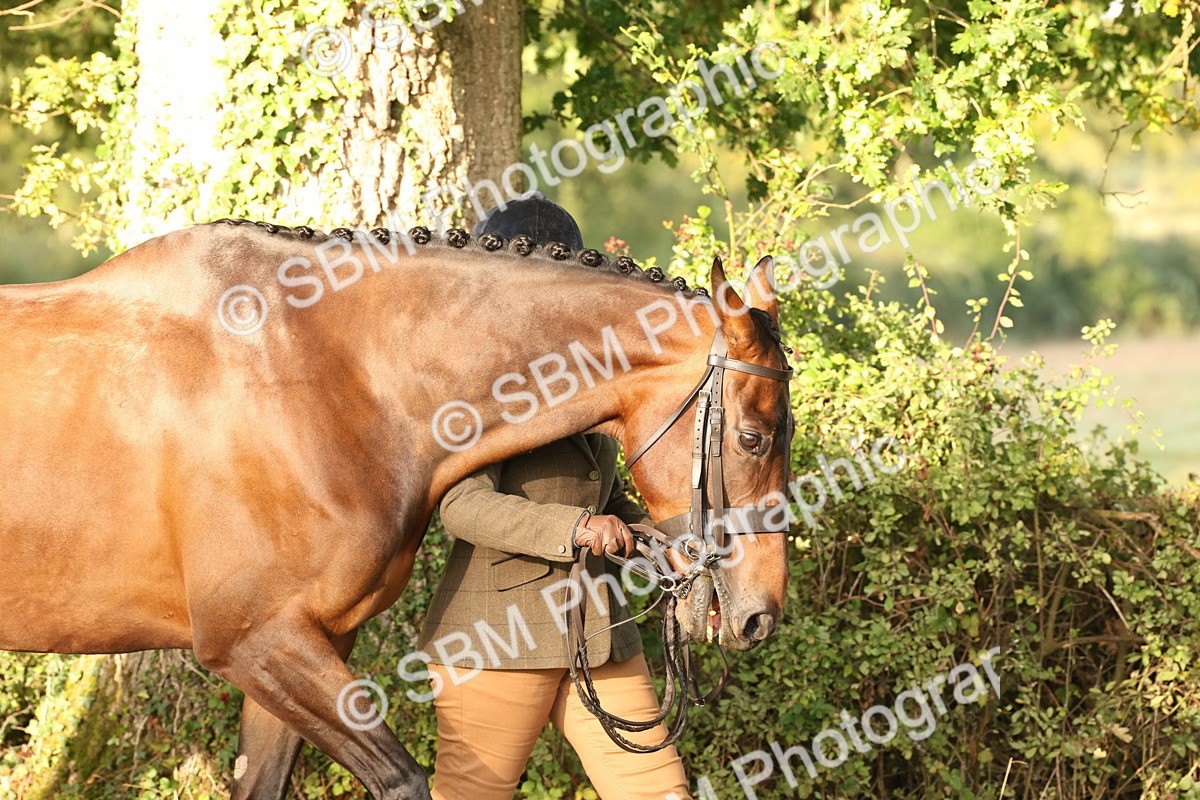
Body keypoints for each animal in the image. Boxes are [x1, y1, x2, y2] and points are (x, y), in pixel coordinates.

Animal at [0, 219, 795, 799]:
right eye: (753, 437)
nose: (760, 616)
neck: (325, 378)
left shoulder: (311, 642)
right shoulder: (256, 642)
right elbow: (404, 781)